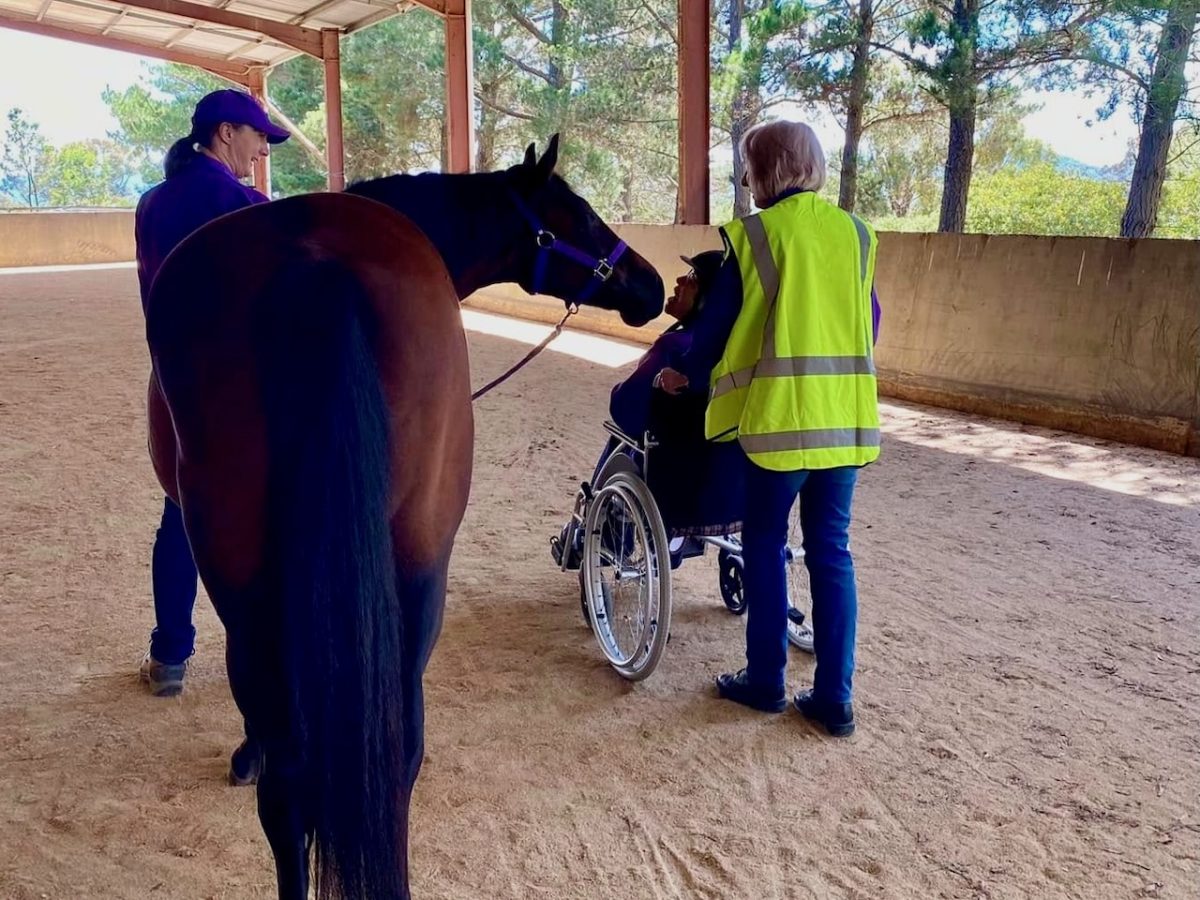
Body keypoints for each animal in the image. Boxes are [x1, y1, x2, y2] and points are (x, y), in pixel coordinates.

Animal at [144, 135, 664, 900]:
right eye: (579, 215)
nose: (652, 286)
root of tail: (316, 264)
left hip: (264, 585)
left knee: (293, 777)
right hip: (414, 567)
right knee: (387, 755)